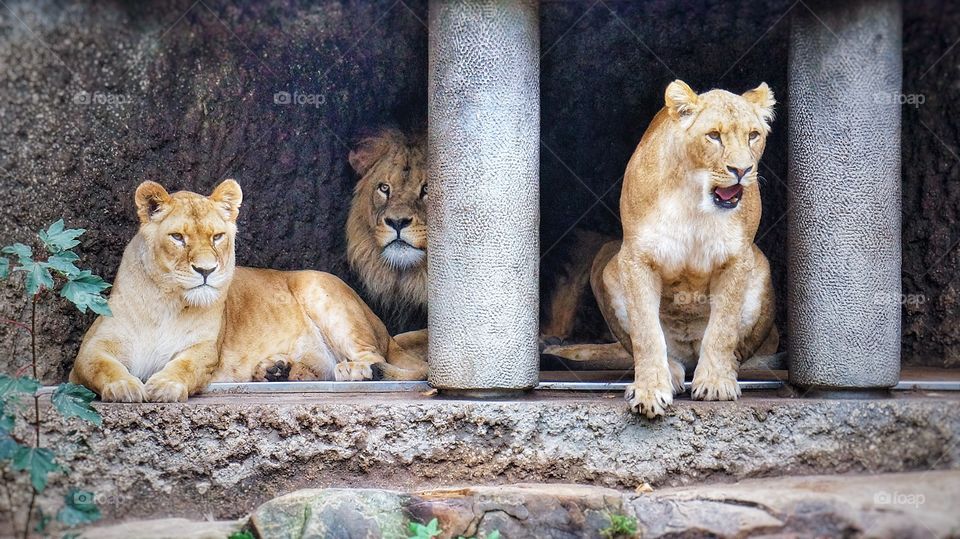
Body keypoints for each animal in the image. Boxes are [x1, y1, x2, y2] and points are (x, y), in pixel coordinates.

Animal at [69, 180, 427, 402]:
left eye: (217, 237)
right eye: (178, 238)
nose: (206, 271)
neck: (165, 303)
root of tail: (385, 330)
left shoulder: (204, 351)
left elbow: (184, 366)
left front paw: (164, 386)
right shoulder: (88, 354)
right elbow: (102, 366)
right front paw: (125, 387)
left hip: (320, 288)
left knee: (374, 356)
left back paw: (357, 369)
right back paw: (277, 371)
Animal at [566, 81, 780, 417]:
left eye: (753, 135)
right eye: (713, 135)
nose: (742, 170)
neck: (695, 197)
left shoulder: (737, 258)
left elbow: (723, 328)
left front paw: (716, 384)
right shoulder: (636, 257)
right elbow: (646, 334)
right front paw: (650, 391)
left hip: (761, 267)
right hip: (608, 267)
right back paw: (672, 374)